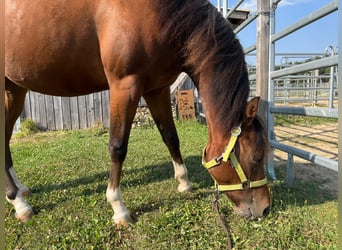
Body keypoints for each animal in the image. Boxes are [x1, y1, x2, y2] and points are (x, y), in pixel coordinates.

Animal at [4, 0, 270, 226]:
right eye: (257, 157)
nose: (265, 208)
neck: (159, 13)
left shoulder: (157, 89)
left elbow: (171, 137)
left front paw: (184, 183)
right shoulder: (125, 86)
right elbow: (118, 147)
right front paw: (118, 208)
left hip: (14, 90)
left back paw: (20, 189)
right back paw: (19, 203)